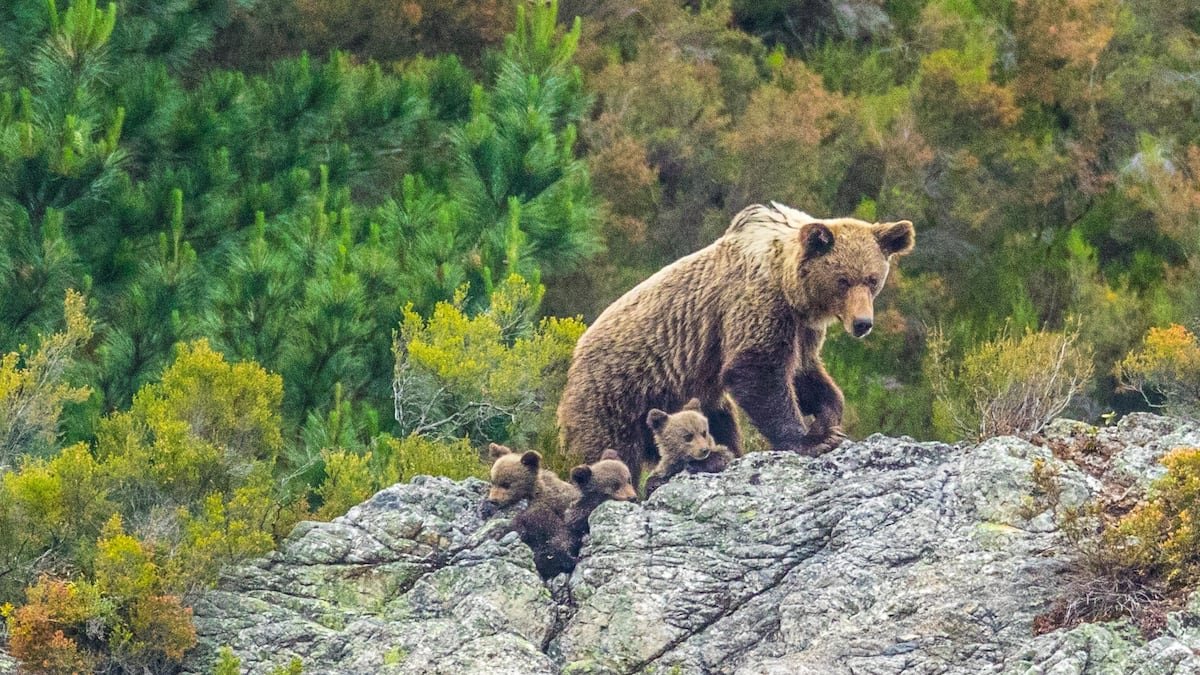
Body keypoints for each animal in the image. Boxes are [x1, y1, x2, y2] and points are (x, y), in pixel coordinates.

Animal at [557, 201, 914, 482]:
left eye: (872, 279)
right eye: (843, 280)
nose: (862, 323)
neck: (789, 287)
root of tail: (574, 358)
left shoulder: (801, 328)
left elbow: (803, 371)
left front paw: (829, 419)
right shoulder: (755, 305)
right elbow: (756, 369)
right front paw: (809, 439)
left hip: (693, 400)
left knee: (720, 423)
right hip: (619, 395)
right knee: (609, 449)